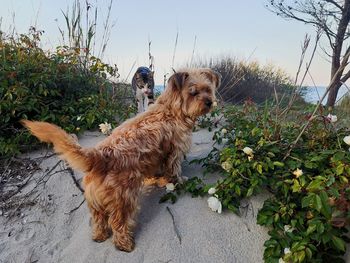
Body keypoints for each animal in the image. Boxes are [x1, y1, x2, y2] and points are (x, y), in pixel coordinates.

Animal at [21, 68, 220, 254]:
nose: (209, 102)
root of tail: (99, 156)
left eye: (207, 89)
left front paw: (158, 180)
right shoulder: (174, 152)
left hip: (95, 203)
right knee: (118, 222)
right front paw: (178, 180)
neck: (171, 109)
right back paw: (124, 243)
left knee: (99, 220)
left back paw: (99, 236)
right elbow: (174, 169)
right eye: (193, 92)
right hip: (124, 199)